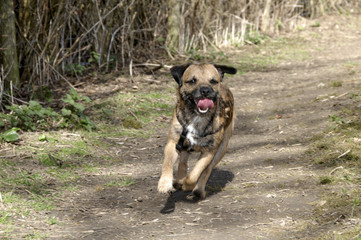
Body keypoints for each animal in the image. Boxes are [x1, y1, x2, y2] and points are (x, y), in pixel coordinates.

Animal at [158, 63, 236, 199]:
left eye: (213, 81)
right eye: (192, 81)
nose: (205, 90)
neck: (197, 117)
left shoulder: (209, 152)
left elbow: (194, 175)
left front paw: (187, 185)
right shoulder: (173, 143)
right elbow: (167, 163)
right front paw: (165, 183)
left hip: (221, 149)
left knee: (207, 170)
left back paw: (197, 189)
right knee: (183, 162)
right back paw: (179, 180)